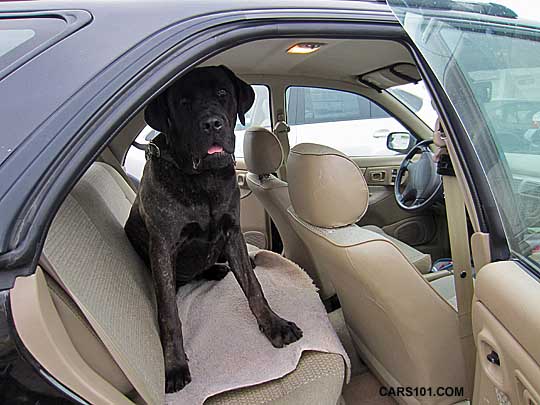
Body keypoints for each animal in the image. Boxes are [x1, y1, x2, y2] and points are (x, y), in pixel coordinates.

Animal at [126, 65, 302, 392]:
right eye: (183, 102)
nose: (211, 124)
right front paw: (174, 364)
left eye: (222, 93)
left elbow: (254, 287)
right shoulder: (163, 248)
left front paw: (274, 325)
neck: (202, 179)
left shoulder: (232, 233)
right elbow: (169, 314)